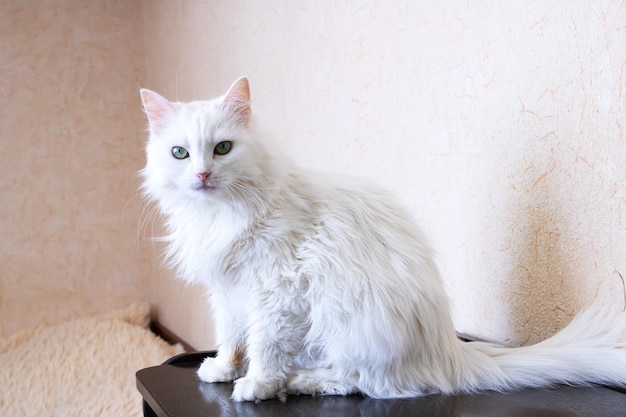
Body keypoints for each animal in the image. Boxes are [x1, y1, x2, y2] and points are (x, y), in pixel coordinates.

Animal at [138, 77, 624, 400]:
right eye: (180, 153)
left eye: (222, 148)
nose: (202, 175)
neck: (219, 215)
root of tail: (452, 354)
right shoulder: (228, 291)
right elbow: (231, 336)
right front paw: (221, 369)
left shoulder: (275, 293)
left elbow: (264, 345)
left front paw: (256, 384)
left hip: (348, 324)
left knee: (364, 384)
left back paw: (300, 381)